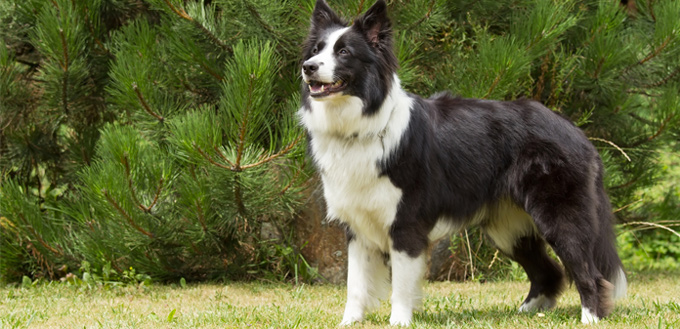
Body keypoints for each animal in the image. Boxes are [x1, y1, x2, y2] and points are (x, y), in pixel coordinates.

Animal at [298, 0, 628, 324]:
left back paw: (590, 317)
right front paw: (349, 322)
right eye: (316, 49)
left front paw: (399, 321)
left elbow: (401, 285)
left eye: (344, 52)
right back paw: (527, 312)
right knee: (549, 272)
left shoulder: (406, 224)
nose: (308, 67)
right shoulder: (357, 226)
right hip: (509, 229)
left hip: (559, 217)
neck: (362, 125)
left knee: (588, 273)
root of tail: (575, 131)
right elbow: (355, 285)